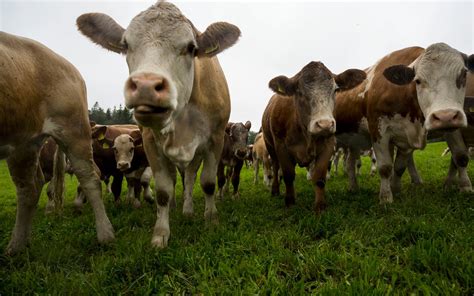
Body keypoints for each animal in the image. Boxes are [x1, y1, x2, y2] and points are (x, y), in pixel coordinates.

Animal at [0, 31, 115, 254]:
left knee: (90, 179)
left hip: (72, 131)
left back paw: (105, 236)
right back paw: (17, 246)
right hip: (23, 141)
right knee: (29, 188)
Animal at [78, 1, 241, 247]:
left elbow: (208, 183)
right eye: (126, 45)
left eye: (191, 47)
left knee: (190, 177)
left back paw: (188, 209)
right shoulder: (149, 142)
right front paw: (161, 234)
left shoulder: (216, 139)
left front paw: (211, 220)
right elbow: (163, 190)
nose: (146, 86)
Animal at [260, 61, 366, 212]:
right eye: (299, 92)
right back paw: (275, 190)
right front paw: (290, 201)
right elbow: (288, 175)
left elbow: (320, 177)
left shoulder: (329, 144)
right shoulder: (281, 146)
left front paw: (320, 205)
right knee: (275, 167)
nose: (324, 124)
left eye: (335, 90)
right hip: (270, 147)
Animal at [336, 42, 474, 204]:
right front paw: (385, 198)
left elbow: (401, 166)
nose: (445, 116)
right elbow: (385, 167)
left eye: (464, 74)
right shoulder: (378, 130)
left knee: (350, 162)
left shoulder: (410, 135)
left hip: (353, 141)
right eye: (418, 80)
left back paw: (353, 187)